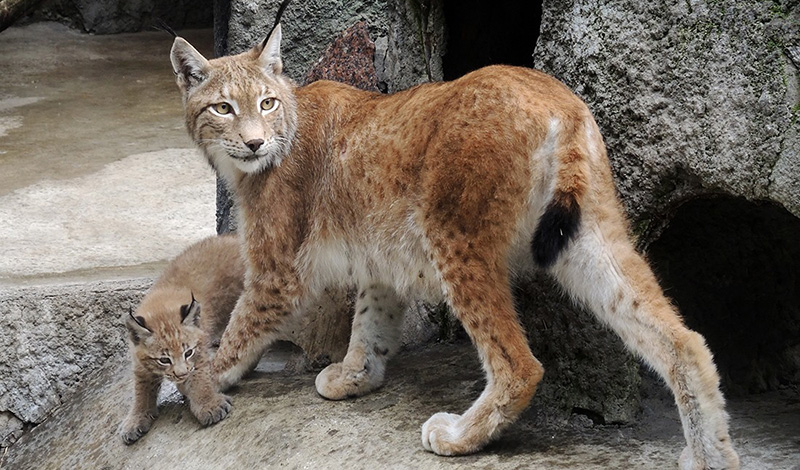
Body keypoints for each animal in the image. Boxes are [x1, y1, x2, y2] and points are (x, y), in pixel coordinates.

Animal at [120, 235, 242, 444]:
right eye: (164, 359)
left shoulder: (199, 352)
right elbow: (140, 391)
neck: (161, 305)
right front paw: (135, 418)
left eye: (188, 352)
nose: (181, 374)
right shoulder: (140, 364)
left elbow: (200, 378)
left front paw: (209, 405)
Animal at [169, 23, 736, 468]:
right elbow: (370, 319)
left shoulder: (277, 269)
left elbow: (239, 328)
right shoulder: (377, 255)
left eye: (264, 104)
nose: (255, 143)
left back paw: (460, 436)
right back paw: (712, 454)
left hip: (454, 236)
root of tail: (556, 96)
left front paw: (201, 385)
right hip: (589, 235)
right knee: (684, 341)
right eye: (223, 108)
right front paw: (356, 375)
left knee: (519, 364)